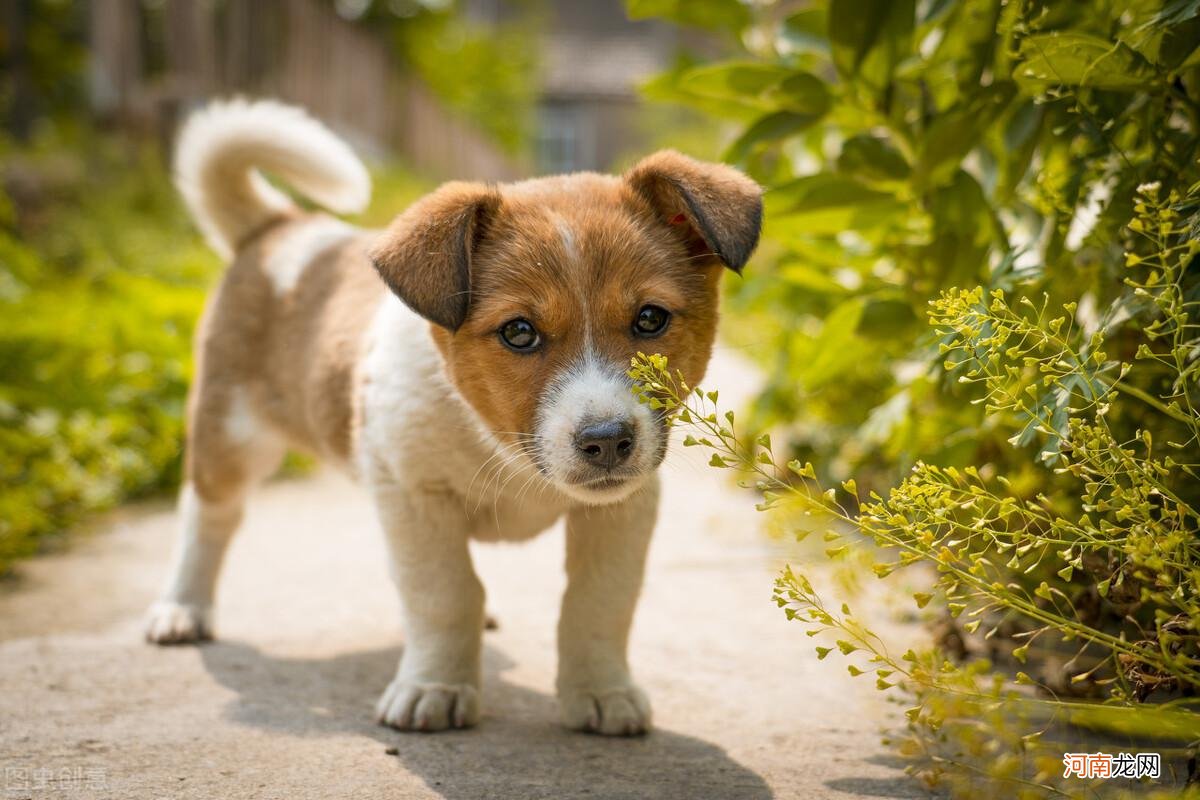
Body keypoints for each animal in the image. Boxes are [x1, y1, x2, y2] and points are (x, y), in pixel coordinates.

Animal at [147, 101, 758, 738]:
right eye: (519, 332)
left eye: (650, 319)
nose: (607, 441)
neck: (499, 444)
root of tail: (281, 227)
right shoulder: (415, 495)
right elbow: (444, 594)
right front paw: (435, 687)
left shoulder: (623, 510)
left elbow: (597, 601)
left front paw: (600, 690)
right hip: (230, 438)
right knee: (207, 514)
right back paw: (182, 608)